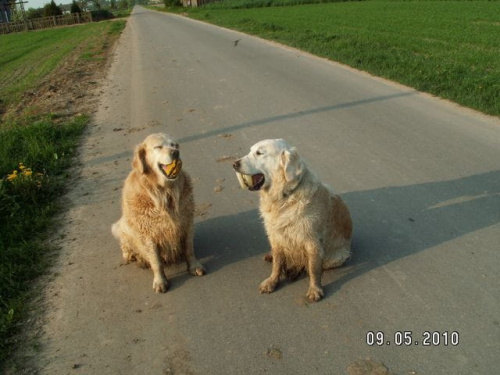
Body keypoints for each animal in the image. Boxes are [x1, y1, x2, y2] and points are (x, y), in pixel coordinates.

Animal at [113, 134, 205, 294]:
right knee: (126, 245)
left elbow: (189, 249)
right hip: (119, 226)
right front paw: (160, 281)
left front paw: (194, 266)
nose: (175, 153)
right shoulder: (147, 233)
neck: (164, 192)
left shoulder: (187, 221)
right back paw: (133, 257)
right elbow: (156, 261)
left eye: (175, 145)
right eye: (158, 147)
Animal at [233, 140, 354, 304]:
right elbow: (278, 263)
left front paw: (315, 289)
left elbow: (314, 269)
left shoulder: (312, 241)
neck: (284, 197)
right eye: (251, 151)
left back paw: (294, 271)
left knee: (307, 264)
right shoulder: (276, 236)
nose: (234, 164)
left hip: (336, 257)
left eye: (259, 153)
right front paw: (272, 281)